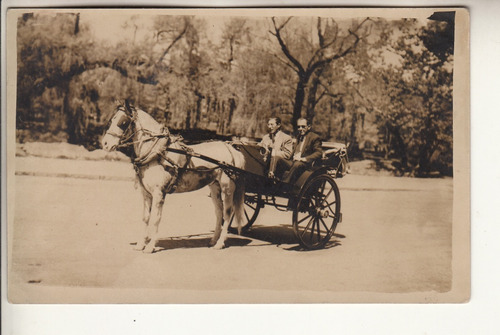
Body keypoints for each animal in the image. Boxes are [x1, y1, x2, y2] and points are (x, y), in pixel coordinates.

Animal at [100, 102, 245, 255]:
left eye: (123, 122)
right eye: (112, 120)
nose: (105, 144)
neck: (157, 152)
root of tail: (231, 149)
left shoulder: (159, 193)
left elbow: (156, 219)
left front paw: (150, 247)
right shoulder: (146, 194)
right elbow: (145, 218)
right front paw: (140, 245)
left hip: (227, 188)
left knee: (228, 213)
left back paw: (220, 243)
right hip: (214, 186)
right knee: (219, 212)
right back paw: (213, 240)